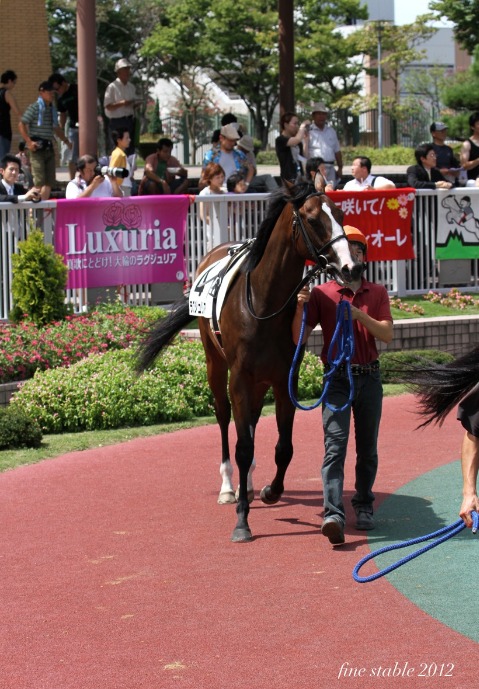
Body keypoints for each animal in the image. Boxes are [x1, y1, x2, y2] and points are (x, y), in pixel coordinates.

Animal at [137, 180, 362, 540]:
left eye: (340, 214)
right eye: (313, 219)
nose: (350, 268)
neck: (263, 302)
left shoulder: (285, 379)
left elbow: (284, 447)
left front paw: (271, 490)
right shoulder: (239, 377)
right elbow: (242, 446)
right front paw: (242, 519)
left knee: (253, 422)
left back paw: (253, 484)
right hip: (216, 366)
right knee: (224, 419)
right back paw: (230, 487)